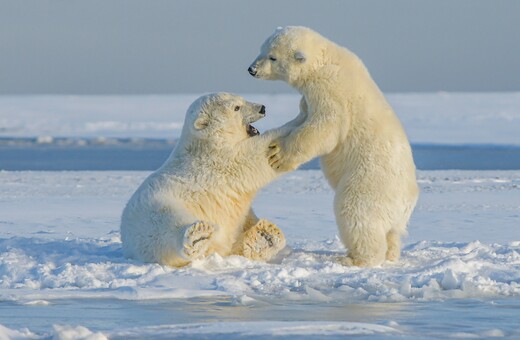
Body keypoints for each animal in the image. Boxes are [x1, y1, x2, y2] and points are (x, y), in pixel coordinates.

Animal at [120, 93, 286, 268]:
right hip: (155, 209)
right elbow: (252, 157)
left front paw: (265, 235)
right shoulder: (220, 161)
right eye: (236, 107)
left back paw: (264, 235)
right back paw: (197, 236)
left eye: (242, 99)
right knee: (167, 225)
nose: (262, 108)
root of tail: (127, 242)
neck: (206, 143)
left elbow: (242, 219)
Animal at [248, 25, 418, 266]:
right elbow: (304, 115)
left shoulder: (331, 90)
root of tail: (407, 202)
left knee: (356, 214)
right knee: (392, 233)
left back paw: (355, 259)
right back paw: (391, 254)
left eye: (273, 57)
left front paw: (278, 155)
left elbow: (324, 127)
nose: (251, 69)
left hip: (369, 183)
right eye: (261, 49)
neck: (326, 59)